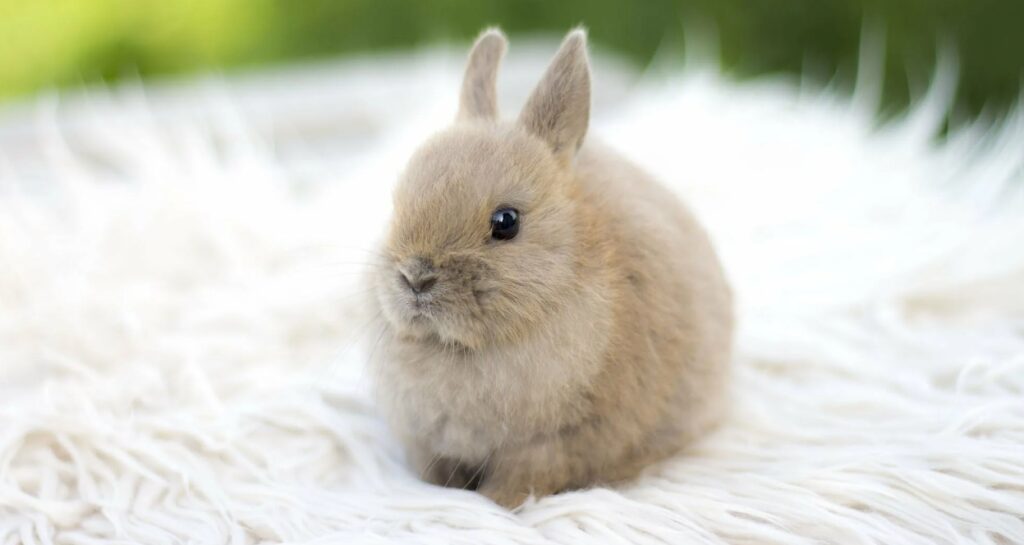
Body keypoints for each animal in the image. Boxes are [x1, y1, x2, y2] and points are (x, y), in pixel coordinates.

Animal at [367, 27, 733, 509]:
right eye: (395, 205)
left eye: (506, 222)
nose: (415, 278)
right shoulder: (430, 443)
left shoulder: (548, 447)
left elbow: (516, 483)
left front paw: (493, 506)